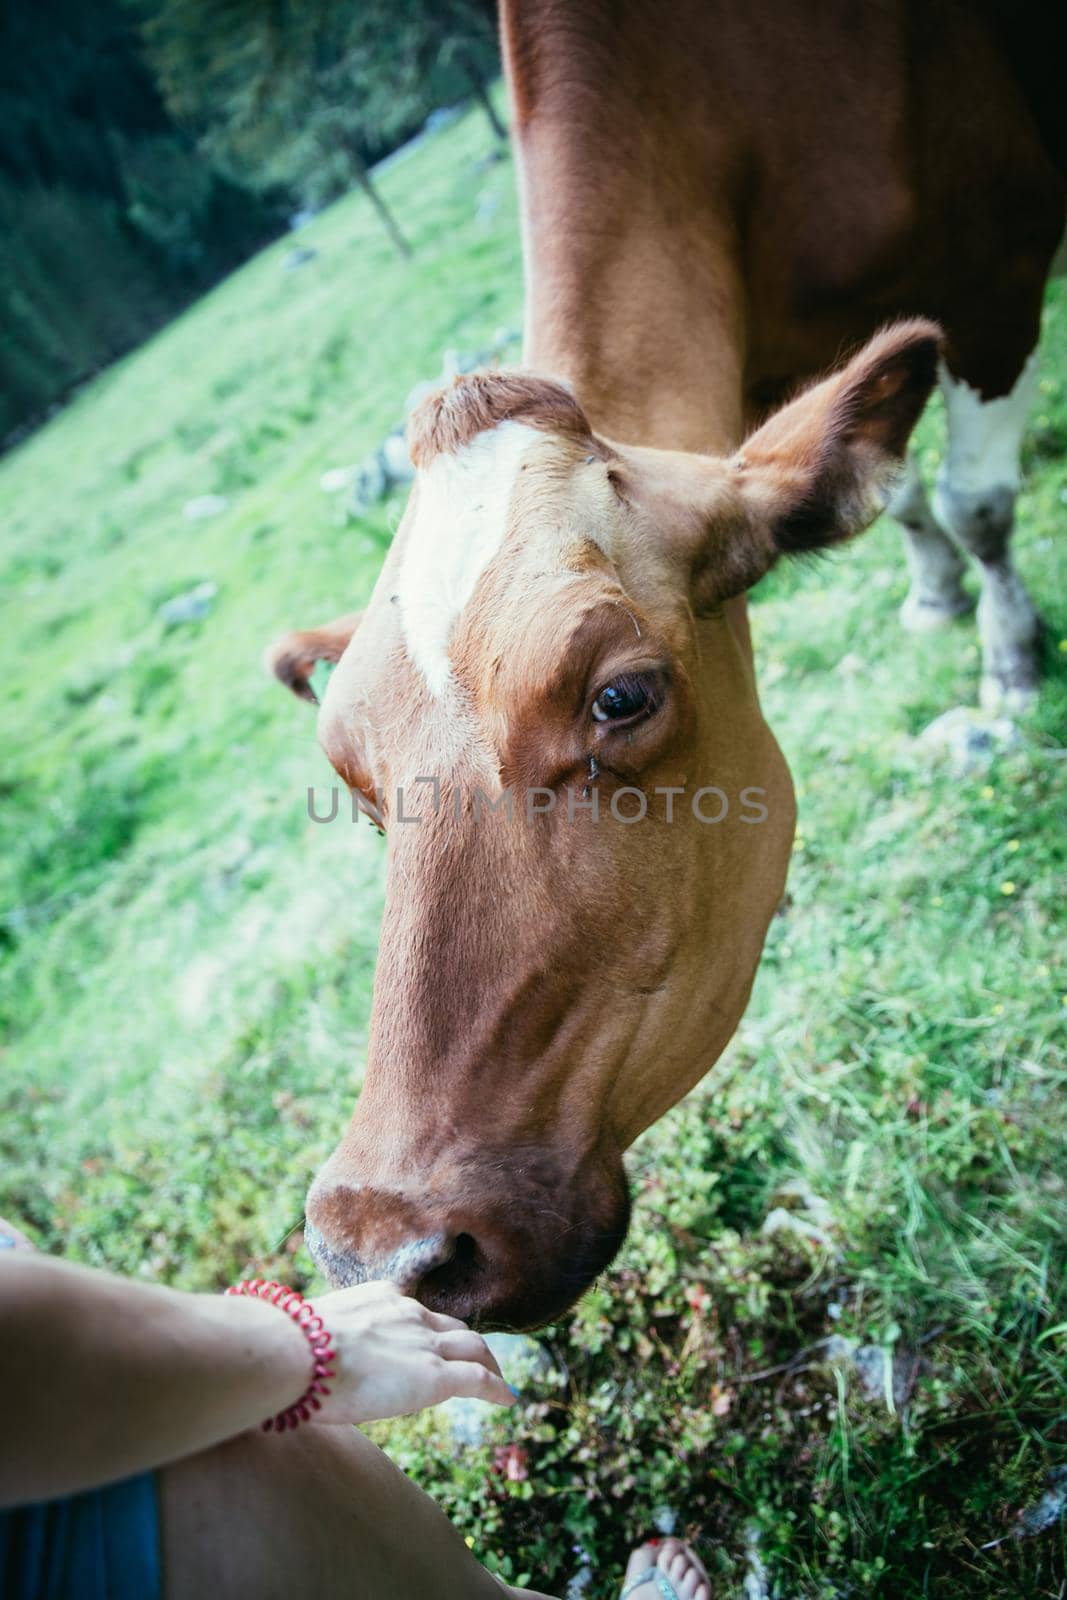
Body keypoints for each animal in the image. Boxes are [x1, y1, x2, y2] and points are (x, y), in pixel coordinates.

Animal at [271, 0, 1062, 1324]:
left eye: (620, 696)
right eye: (353, 782)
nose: (385, 1249)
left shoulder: (994, 262)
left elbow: (974, 497)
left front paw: (1005, 657)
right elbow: (896, 491)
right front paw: (933, 597)